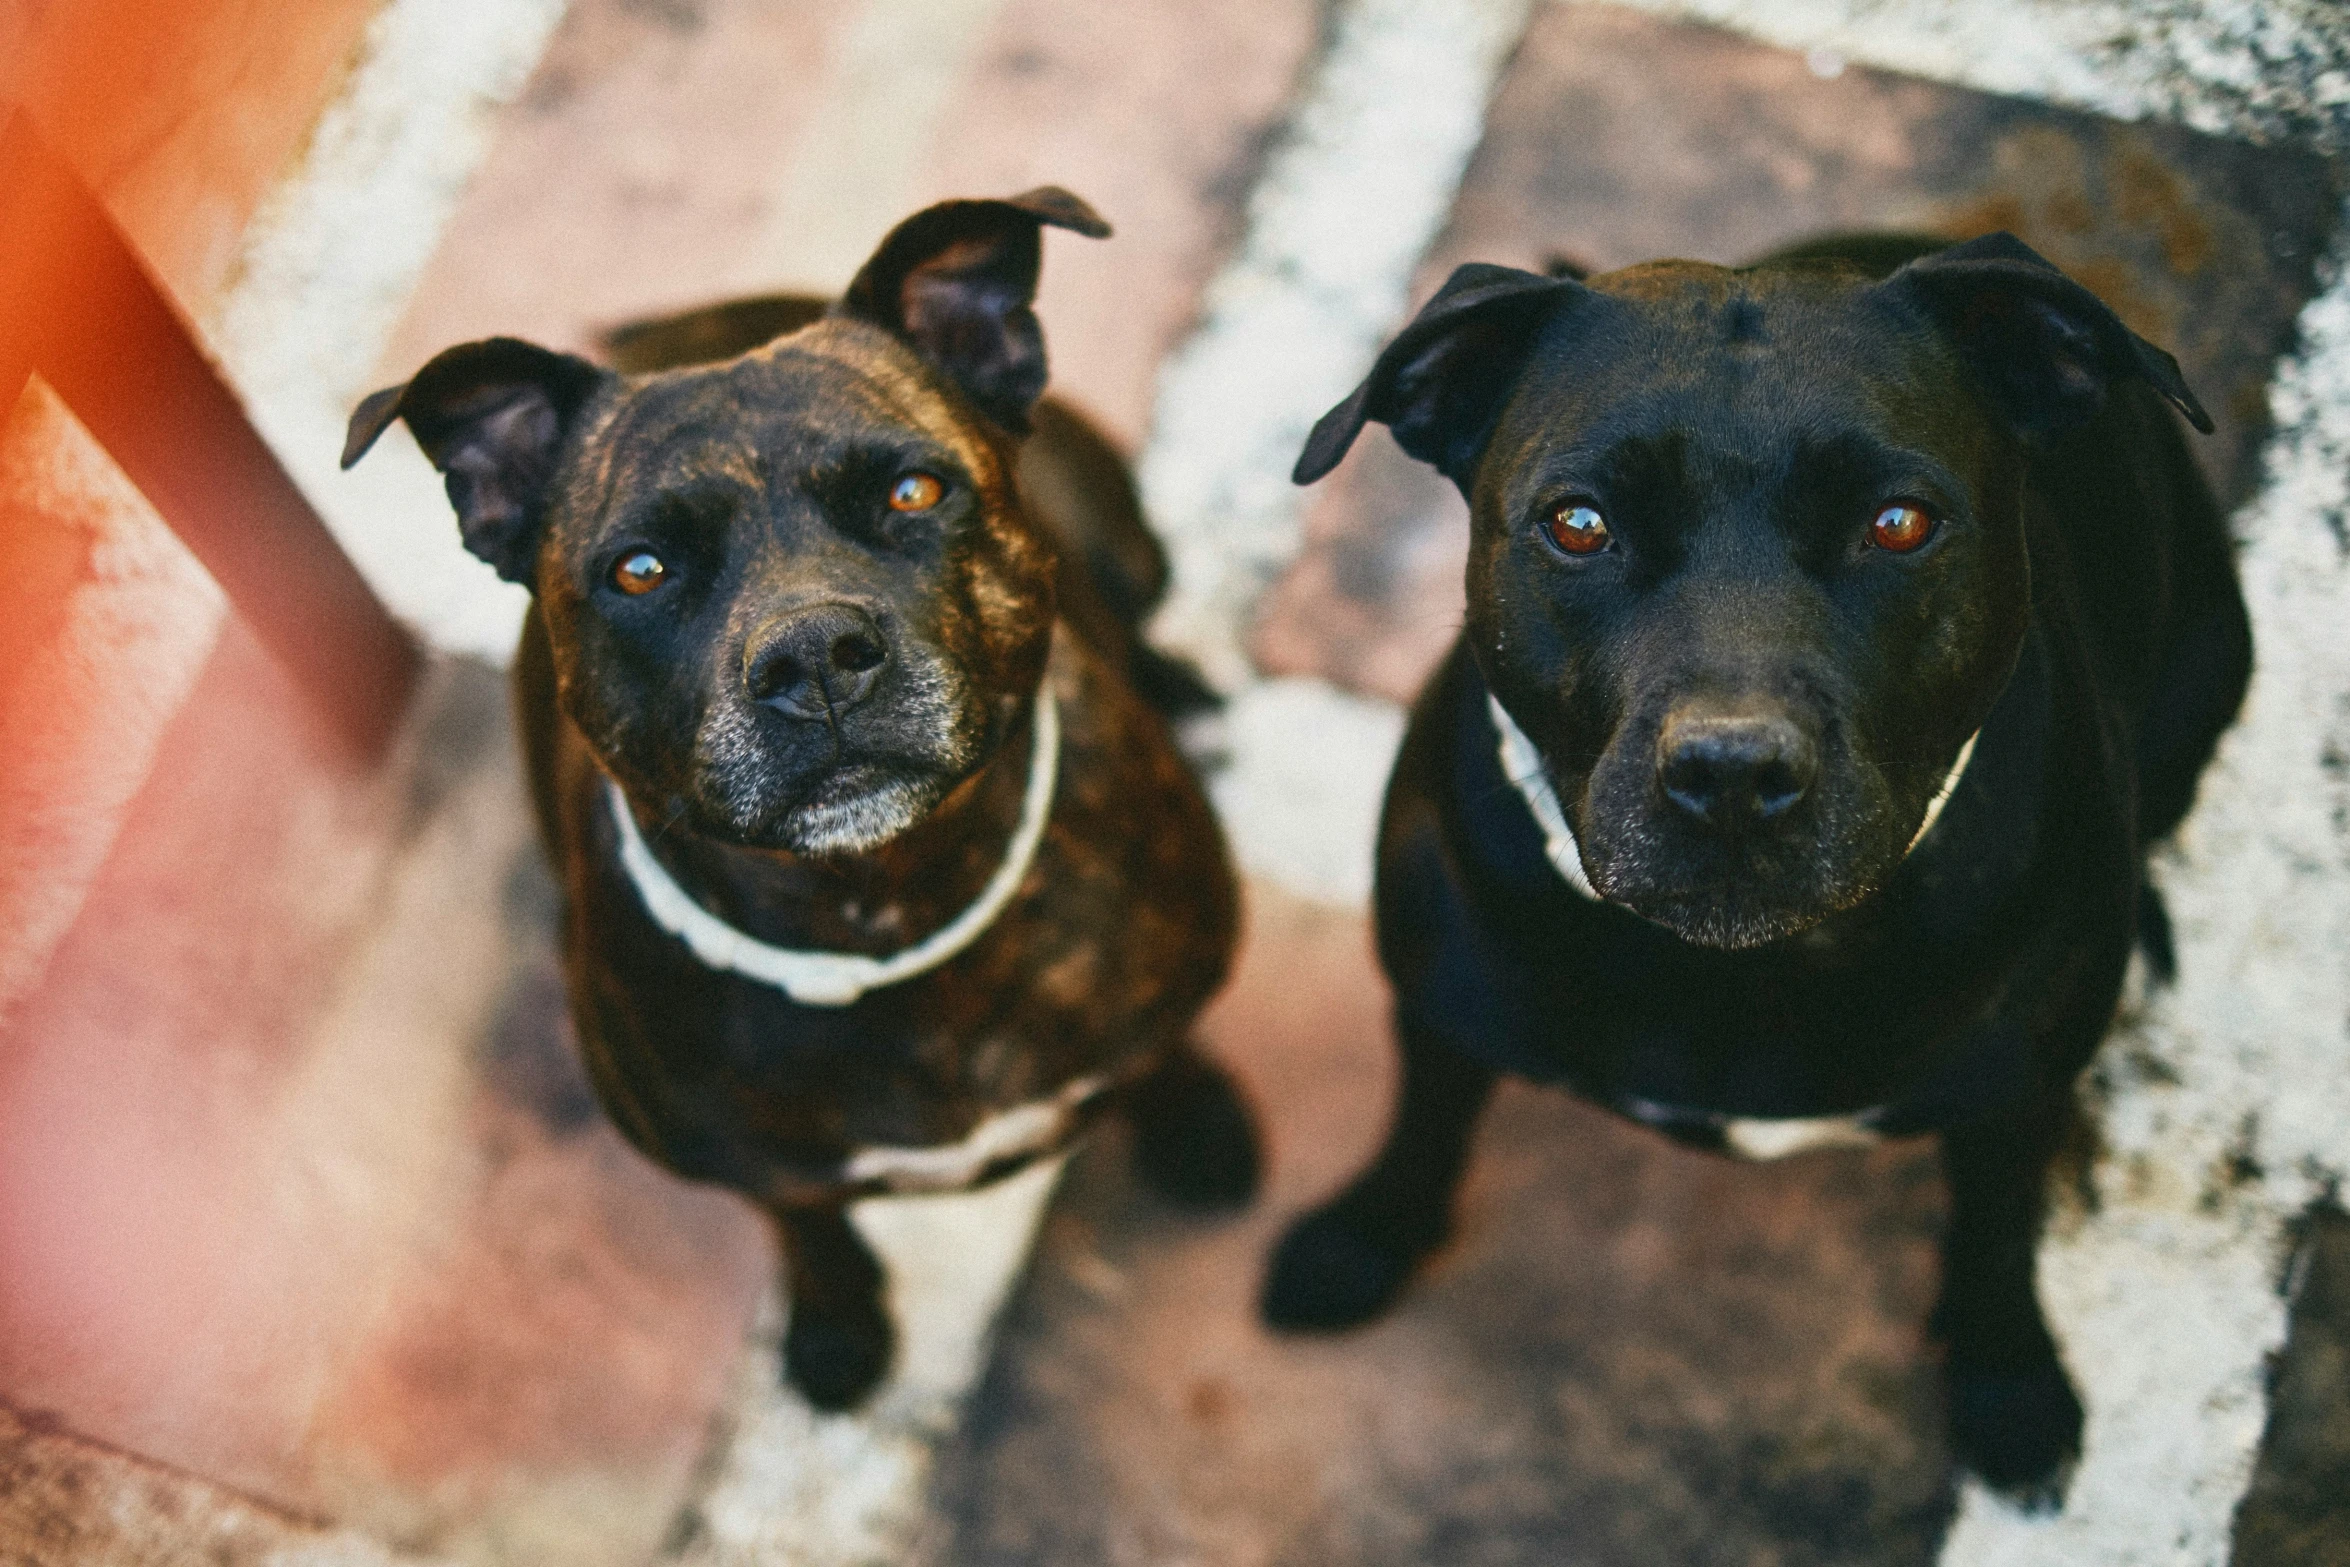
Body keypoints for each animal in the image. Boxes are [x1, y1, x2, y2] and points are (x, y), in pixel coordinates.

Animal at [343, 190, 1259, 1418]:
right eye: (640, 568)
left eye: (915, 491)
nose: (814, 654)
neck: (882, 911)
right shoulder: (748, 1164)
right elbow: (805, 1224)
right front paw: (835, 1328)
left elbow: (1163, 1049)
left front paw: (1196, 1120)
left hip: (1128, 536)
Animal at [1259, 232, 2246, 1503]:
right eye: (1578, 524)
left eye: (1899, 523)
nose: (1731, 771)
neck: (1743, 972)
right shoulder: (1442, 1006)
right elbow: (1419, 1132)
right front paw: (1360, 1242)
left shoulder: (2016, 1094)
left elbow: (1995, 1236)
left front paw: (2010, 1384)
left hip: (2216, 666)